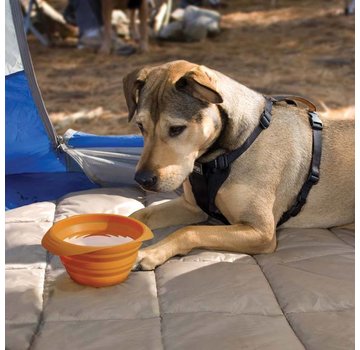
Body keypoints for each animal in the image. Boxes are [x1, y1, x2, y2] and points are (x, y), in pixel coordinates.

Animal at [124, 60, 354, 270]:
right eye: (140, 125)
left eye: (176, 129)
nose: (142, 180)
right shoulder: (191, 206)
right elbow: (139, 215)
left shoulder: (260, 231)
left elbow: (189, 231)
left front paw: (150, 253)